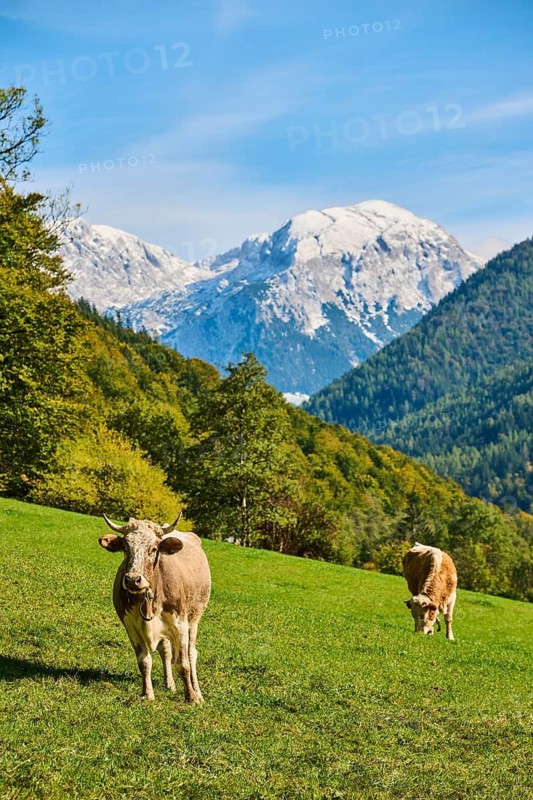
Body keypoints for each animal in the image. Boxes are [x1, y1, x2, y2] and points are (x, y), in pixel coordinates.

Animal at [98, 513, 211, 702]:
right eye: (125, 548)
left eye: (153, 549)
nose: (132, 580)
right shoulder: (131, 627)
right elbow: (144, 662)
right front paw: (147, 694)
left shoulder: (180, 625)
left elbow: (183, 664)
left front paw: (191, 697)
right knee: (166, 651)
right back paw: (170, 684)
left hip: (194, 619)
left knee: (192, 654)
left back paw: (198, 692)